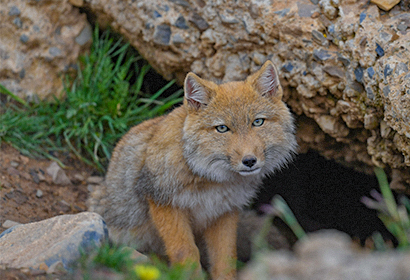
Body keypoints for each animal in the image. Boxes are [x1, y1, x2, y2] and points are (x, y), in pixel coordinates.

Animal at [88, 60, 296, 278]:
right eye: (222, 128)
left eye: (258, 122)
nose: (249, 161)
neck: (213, 181)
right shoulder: (164, 204)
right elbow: (185, 251)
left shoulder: (223, 212)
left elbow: (225, 257)